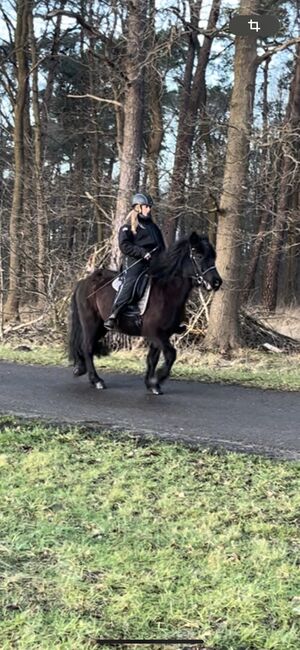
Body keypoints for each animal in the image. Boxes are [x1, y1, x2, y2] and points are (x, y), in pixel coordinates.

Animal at [69, 233, 221, 394]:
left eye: (213, 256)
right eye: (199, 255)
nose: (217, 282)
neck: (166, 292)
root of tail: (84, 282)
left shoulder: (161, 335)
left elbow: (152, 359)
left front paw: (151, 384)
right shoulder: (155, 333)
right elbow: (171, 355)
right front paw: (158, 378)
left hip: (102, 327)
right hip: (91, 323)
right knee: (87, 347)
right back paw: (96, 380)